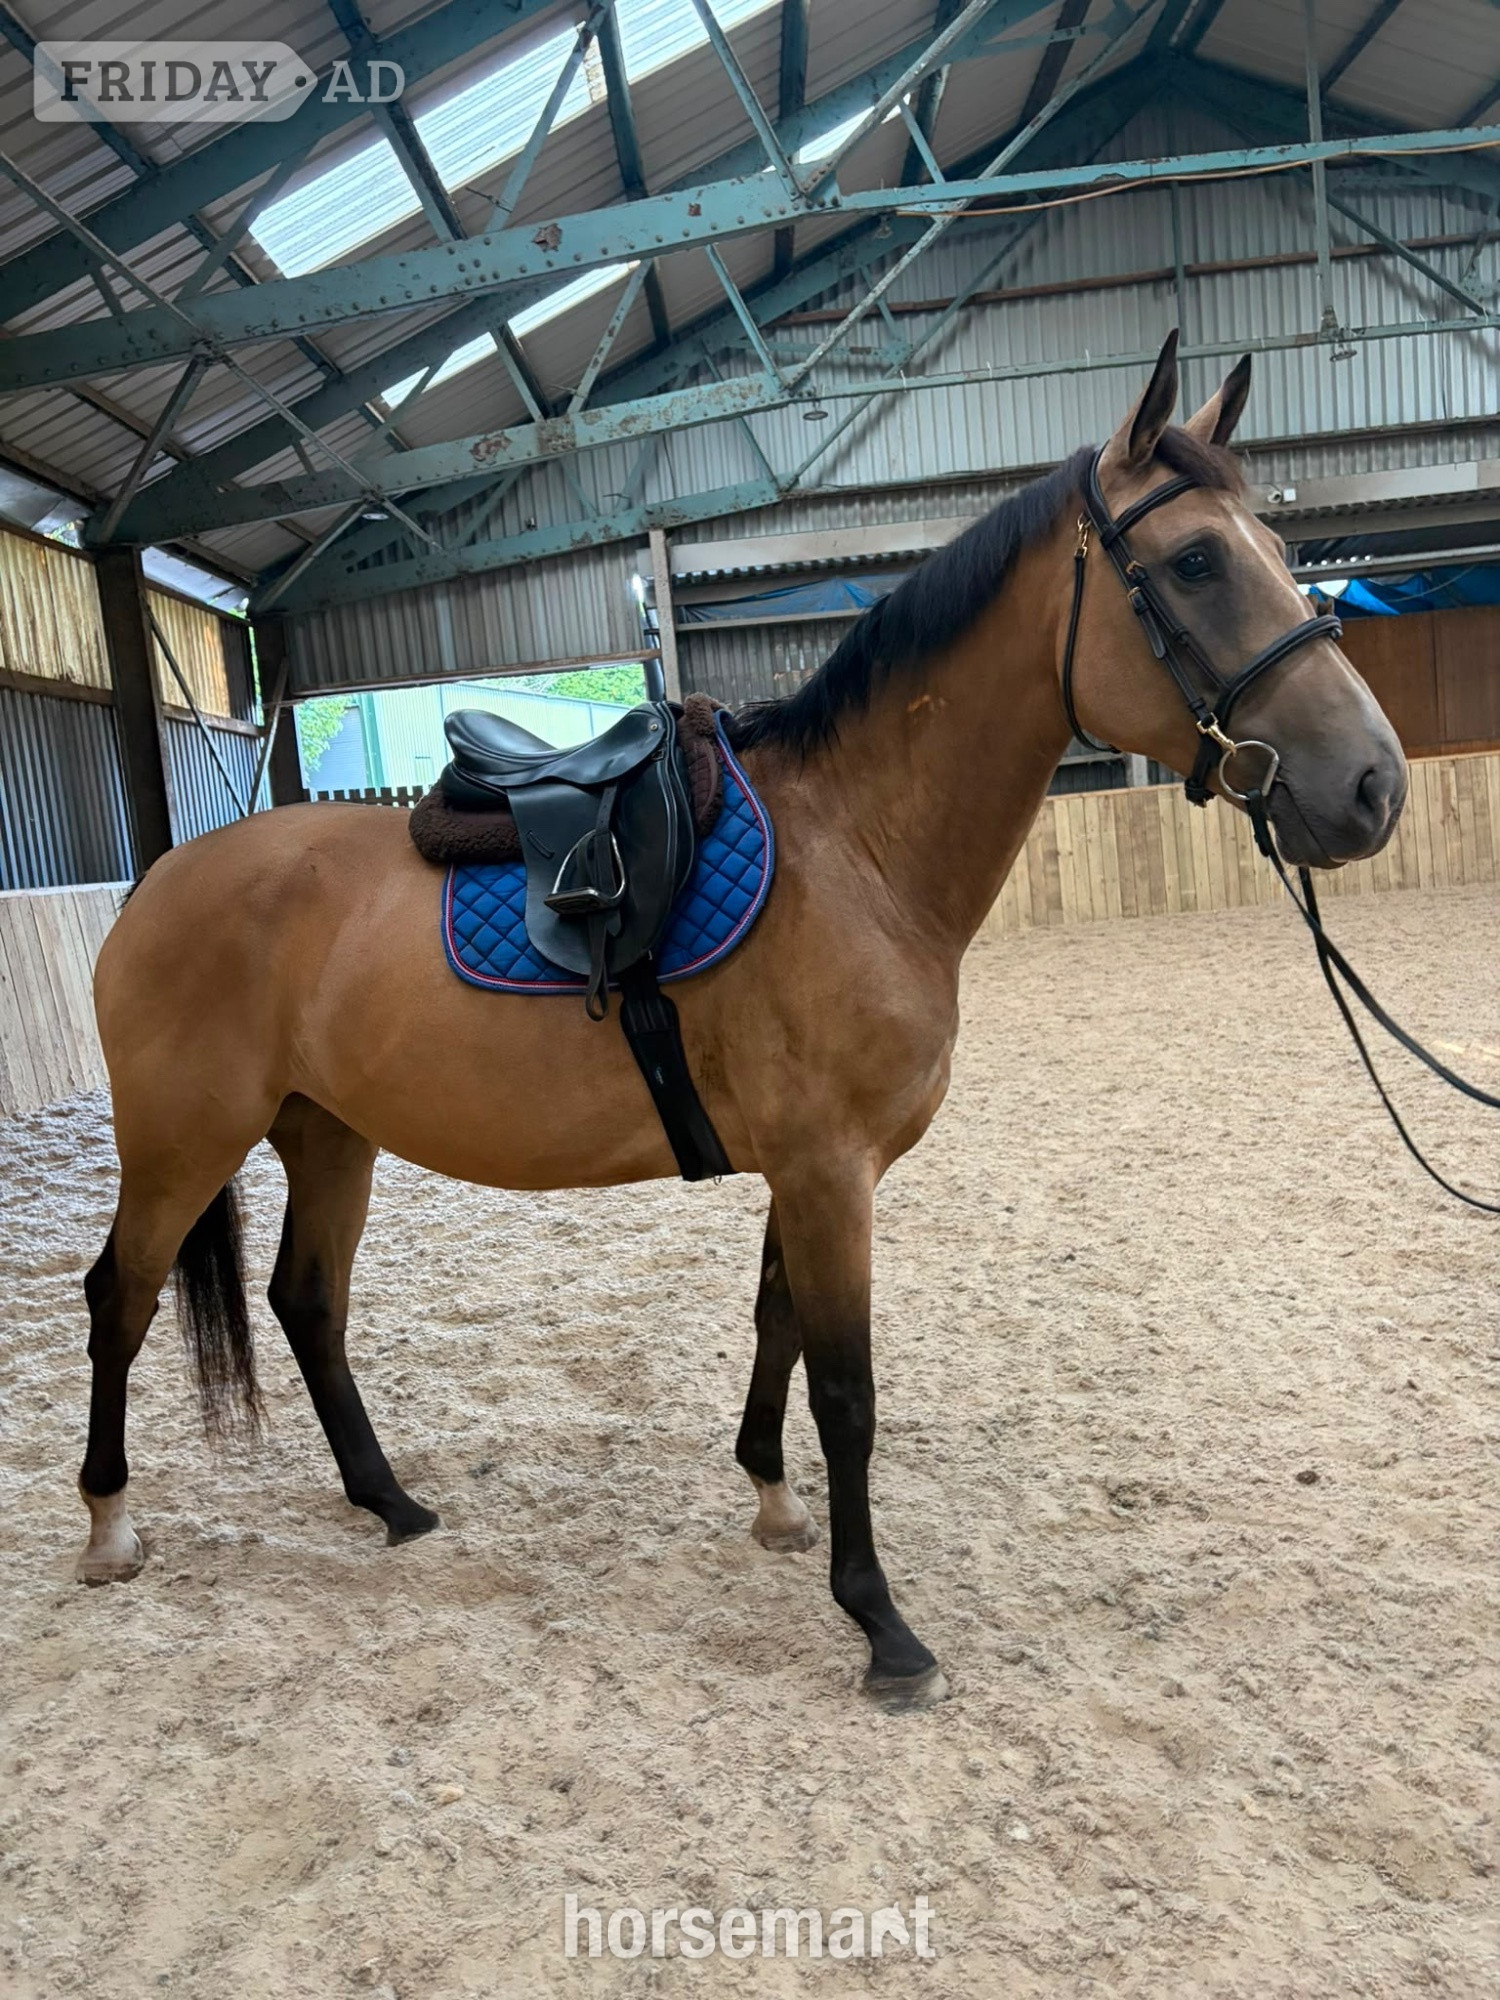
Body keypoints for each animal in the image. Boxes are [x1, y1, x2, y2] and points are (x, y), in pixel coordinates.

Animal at [76, 333, 1406, 1709]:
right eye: (1196, 560)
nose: (1373, 784)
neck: (857, 849)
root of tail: (158, 882)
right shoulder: (829, 1169)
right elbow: (849, 1388)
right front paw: (880, 1621)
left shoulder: (807, 1165)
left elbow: (778, 1331)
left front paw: (772, 1501)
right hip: (183, 1140)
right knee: (120, 1294)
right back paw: (111, 1526)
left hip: (327, 1131)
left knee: (306, 1302)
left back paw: (388, 1501)